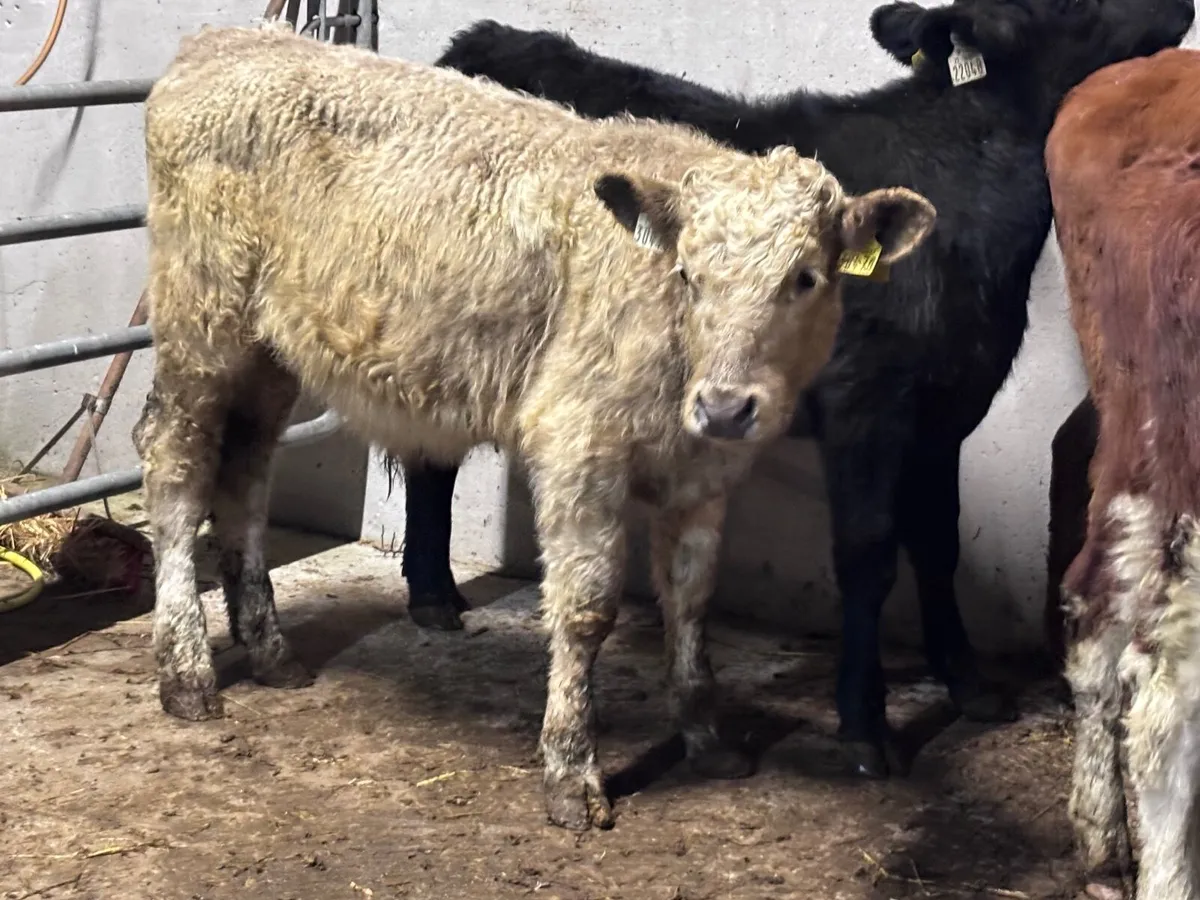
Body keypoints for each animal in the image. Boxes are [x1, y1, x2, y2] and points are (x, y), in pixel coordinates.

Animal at [134, 23, 935, 831]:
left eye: (806, 278)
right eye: (689, 276)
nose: (726, 405)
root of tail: (231, 37)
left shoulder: (706, 475)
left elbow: (690, 600)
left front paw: (706, 738)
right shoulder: (577, 446)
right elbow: (585, 609)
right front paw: (572, 773)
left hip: (269, 349)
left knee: (245, 470)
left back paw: (270, 650)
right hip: (201, 320)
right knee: (175, 463)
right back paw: (186, 671)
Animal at [389, 0, 1196, 780]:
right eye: (1073, 3)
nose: (1175, 6)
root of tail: (470, 45)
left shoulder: (945, 407)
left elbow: (938, 543)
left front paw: (969, 687)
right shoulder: (864, 404)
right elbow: (869, 556)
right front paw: (866, 728)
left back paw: (434, 594)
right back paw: (432, 595)